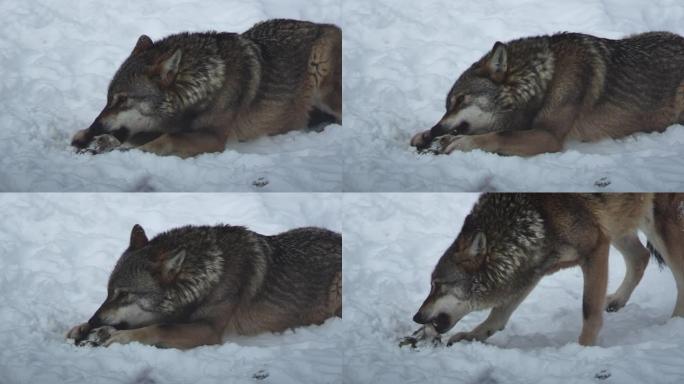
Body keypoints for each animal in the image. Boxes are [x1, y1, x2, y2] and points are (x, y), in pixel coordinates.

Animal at [66, 224, 340, 350]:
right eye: (108, 293)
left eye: (124, 294)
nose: (93, 320)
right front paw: (83, 328)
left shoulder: (209, 330)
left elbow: (158, 328)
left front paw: (119, 337)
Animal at [69, 19, 342, 158]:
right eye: (108, 99)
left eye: (123, 100)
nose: (96, 126)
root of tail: (329, 26)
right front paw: (90, 138)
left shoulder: (213, 138)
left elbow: (161, 141)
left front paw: (119, 150)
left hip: (323, 79)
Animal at [400, 194, 684, 346]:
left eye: (437, 285)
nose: (416, 316)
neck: (534, 219)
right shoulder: (531, 272)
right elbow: (497, 317)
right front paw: (472, 336)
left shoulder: (595, 248)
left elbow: (589, 311)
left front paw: (583, 348)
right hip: (619, 223)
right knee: (641, 257)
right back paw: (615, 301)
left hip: (657, 223)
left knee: (676, 274)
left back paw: (675, 324)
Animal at [408, 32, 684, 156]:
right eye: (447, 105)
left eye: (461, 100)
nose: (435, 129)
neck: (546, 79)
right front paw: (424, 135)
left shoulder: (548, 137)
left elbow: (499, 135)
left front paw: (461, 143)